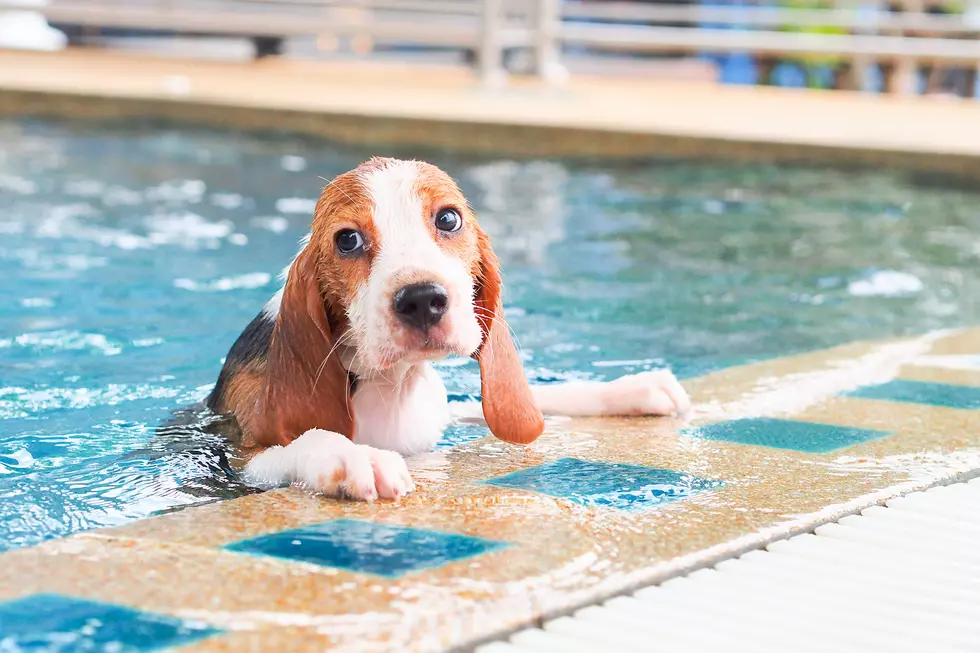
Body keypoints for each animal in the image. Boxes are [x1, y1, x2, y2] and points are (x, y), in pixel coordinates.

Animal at [205, 157, 688, 500]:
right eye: (347, 239)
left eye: (449, 219)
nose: (421, 299)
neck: (391, 384)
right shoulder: (243, 456)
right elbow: (307, 439)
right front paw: (356, 457)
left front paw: (631, 389)